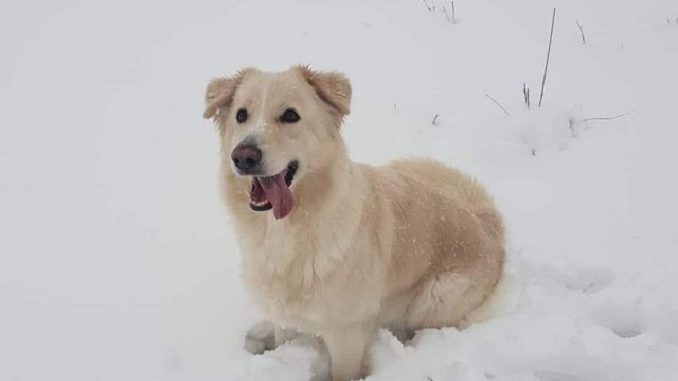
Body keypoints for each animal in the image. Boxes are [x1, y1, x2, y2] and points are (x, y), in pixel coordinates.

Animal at [202, 66, 504, 380]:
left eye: (290, 115)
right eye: (241, 115)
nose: (243, 156)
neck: (288, 233)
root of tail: (487, 225)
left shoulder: (346, 332)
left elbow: (344, 371)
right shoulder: (284, 319)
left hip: (433, 299)